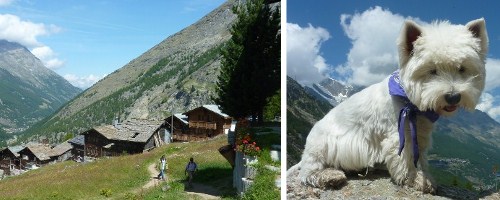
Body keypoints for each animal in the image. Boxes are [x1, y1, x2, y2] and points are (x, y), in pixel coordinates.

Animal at [290, 18, 488, 194]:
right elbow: (406, 157)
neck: (410, 102)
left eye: (462, 68)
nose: (453, 97)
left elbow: (420, 157)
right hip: (321, 148)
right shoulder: (399, 133)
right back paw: (330, 176)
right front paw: (414, 179)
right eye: (432, 70)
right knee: (307, 173)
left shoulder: (420, 133)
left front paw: (424, 175)